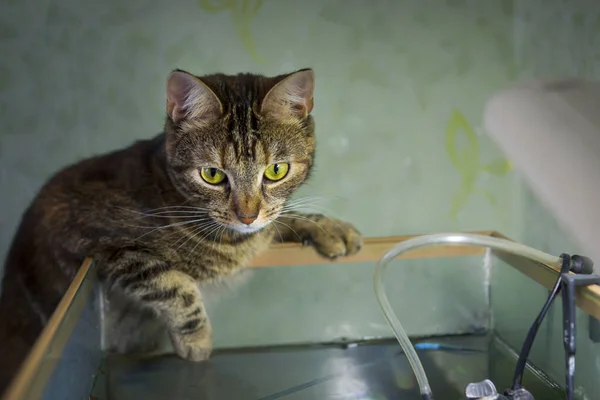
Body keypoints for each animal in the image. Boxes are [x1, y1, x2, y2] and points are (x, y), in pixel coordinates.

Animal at [0, 68, 360, 390]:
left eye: (276, 170)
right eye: (212, 175)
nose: (247, 216)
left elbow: (279, 219)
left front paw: (330, 228)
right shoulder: (94, 239)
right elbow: (173, 283)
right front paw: (197, 340)